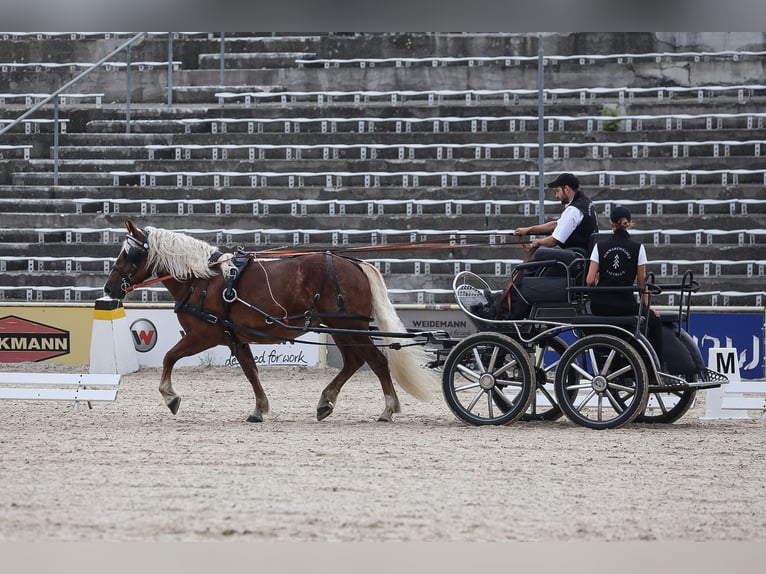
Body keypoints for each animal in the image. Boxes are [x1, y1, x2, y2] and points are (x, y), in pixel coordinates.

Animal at [102, 220, 437, 423]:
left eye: (130, 254)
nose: (109, 288)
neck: (204, 280)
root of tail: (355, 263)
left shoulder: (203, 334)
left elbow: (169, 357)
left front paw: (170, 397)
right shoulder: (234, 338)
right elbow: (251, 372)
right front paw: (259, 409)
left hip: (349, 326)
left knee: (377, 362)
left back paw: (388, 409)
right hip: (339, 327)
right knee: (354, 362)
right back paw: (326, 402)